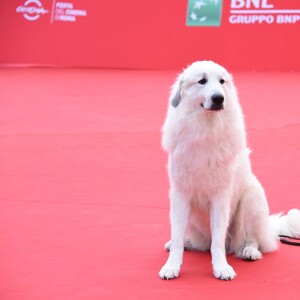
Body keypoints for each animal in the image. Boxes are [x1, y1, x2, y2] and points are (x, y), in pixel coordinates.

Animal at [158, 61, 298, 282]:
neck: (205, 130)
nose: (218, 98)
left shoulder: (220, 197)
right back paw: (187, 243)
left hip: (251, 199)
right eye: (202, 81)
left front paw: (221, 268)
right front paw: (172, 265)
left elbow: (217, 241)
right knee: (199, 242)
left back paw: (249, 251)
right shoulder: (180, 195)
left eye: (222, 81)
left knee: (251, 239)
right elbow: (177, 234)